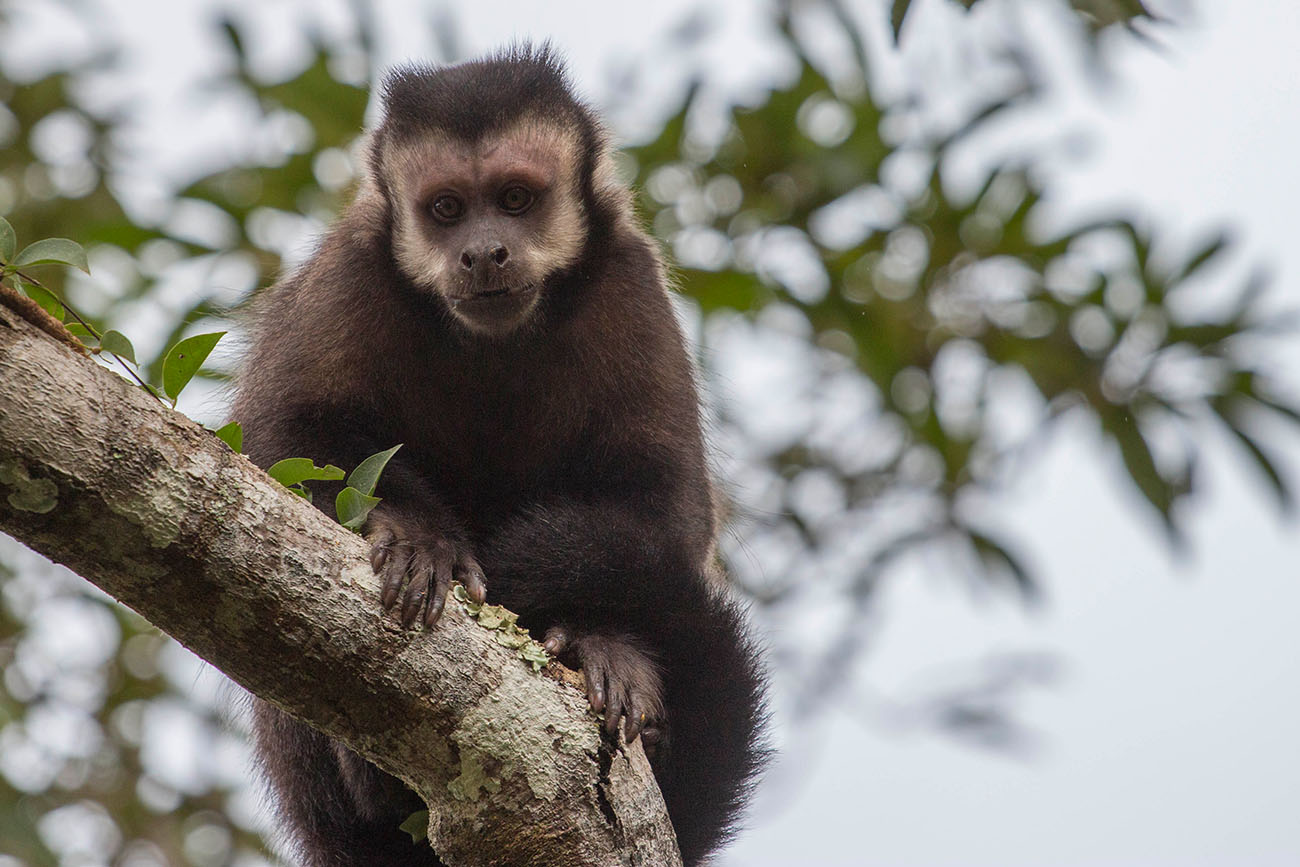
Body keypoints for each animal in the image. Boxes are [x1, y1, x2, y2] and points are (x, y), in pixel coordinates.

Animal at [235, 45, 764, 867]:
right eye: (448, 210)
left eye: (515, 198)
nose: (483, 251)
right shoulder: (350, 273)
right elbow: (280, 439)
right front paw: (418, 535)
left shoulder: (630, 280)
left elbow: (664, 505)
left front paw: (611, 647)